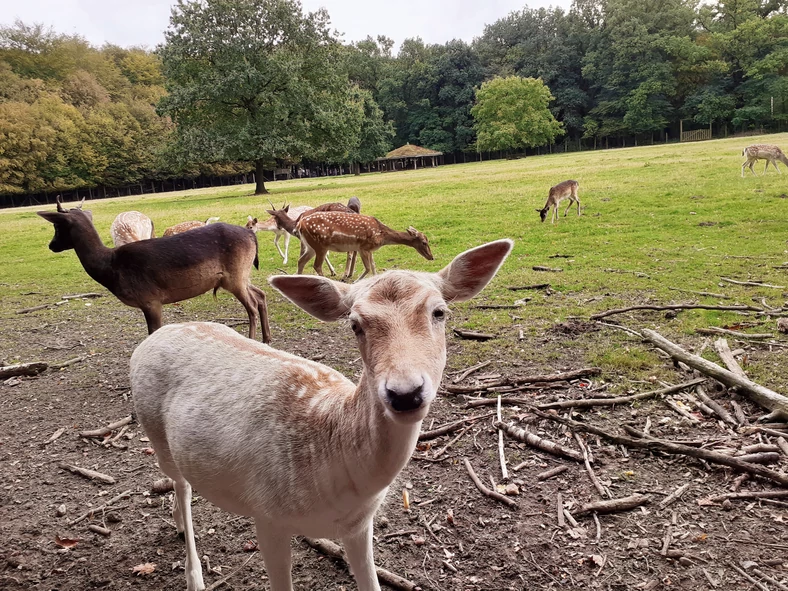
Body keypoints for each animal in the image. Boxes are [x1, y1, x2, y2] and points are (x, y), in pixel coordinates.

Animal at [37, 198, 270, 342]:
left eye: (57, 226)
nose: (51, 245)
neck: (111, 268)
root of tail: (252, 235)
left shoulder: (150, 299)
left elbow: (153, 332)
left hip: (235, 276)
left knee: (251, 305)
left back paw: (253, 339)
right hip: (242, 274)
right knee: (260, 294)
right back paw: (267, 338)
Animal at [132, 239, 516, 591]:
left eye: (439, 312)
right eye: (355, 324)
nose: (405, 393)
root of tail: (154, 337)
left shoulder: (359, 524)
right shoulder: (266, 515)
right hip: (155, 431)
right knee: (180, 484)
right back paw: (193, 573)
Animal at [298, 213, 434, 282]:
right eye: (424, 242)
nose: (431, 257)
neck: (382, 236)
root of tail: (300, 224)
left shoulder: (369, 249)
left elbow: (373, 266)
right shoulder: (363, 247)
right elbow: (368, 268)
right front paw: (356, 281)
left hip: (311, 246)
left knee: (301, 261)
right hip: (320, 245)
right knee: (316, 265)